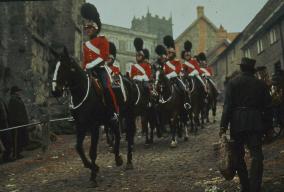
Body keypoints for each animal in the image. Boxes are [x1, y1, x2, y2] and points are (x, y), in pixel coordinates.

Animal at [51, 47, 122, 187]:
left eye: (64, 67)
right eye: (55, 67)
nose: (55, 91)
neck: (82, 92)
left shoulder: (94, 126)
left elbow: (92, 151)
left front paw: (93, 176)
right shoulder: (80, 125)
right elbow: (78, 147)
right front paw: (92, 167)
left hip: (112, 118)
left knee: (117, 133)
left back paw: (118, 157)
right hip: (106, 120)